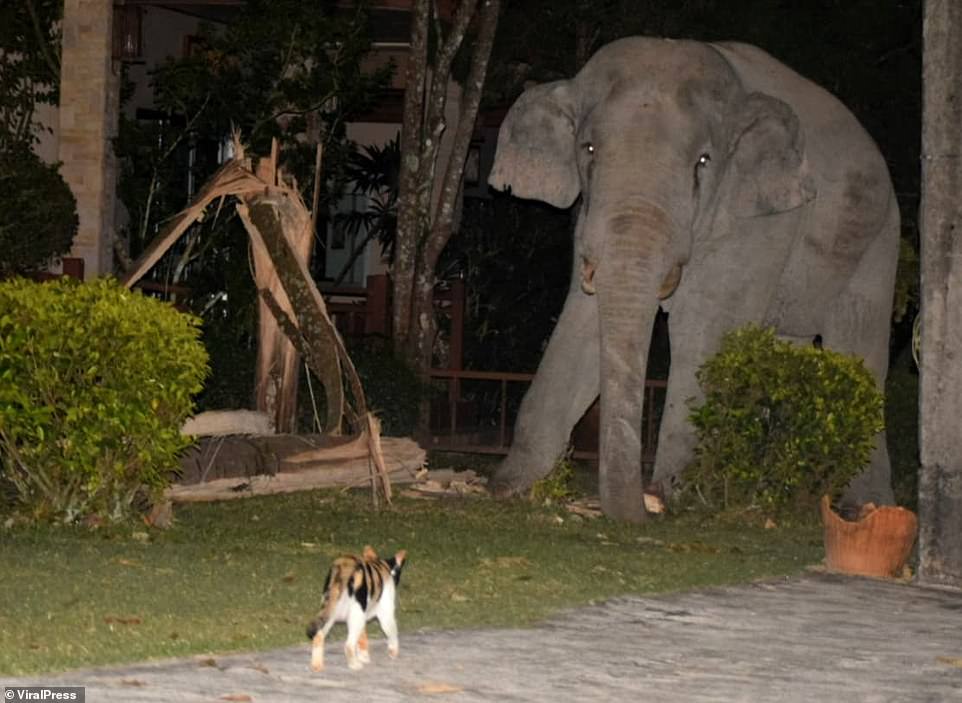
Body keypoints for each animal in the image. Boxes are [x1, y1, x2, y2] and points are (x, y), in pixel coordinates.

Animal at [487, 37, 899, 521]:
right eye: (587, 150)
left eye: (703, 161)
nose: (642, 509)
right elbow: (583, 324)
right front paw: (510, 486)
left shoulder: (760, 221)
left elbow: (701, 331)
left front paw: (677, 496)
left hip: (879, 239)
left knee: (860, 344)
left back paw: (865, 507)